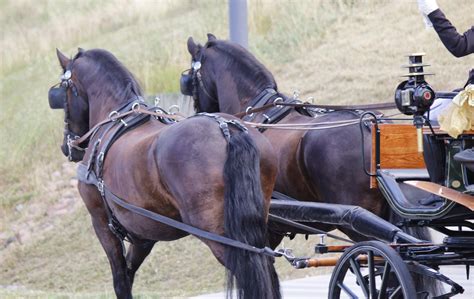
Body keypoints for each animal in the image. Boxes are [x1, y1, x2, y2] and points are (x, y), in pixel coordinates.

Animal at [51, 48, 282, 298]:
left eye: (63, 92)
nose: (67, 146)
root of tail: (228, 129)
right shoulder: (143, 232)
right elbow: (129, 274)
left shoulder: (102, 223)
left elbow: (121, 280)